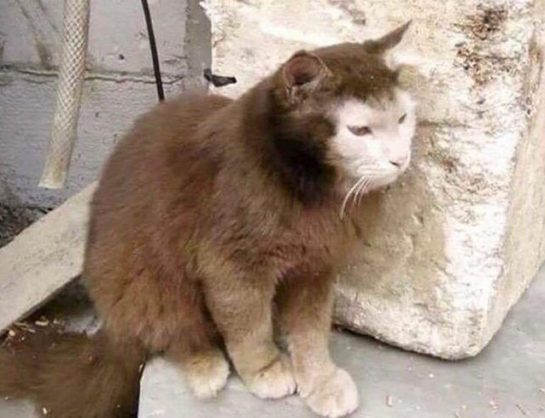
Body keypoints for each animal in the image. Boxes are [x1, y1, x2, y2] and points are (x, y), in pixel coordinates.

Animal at [0, 22, 415, 418]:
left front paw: (321, 380)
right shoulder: (232, 265)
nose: (400, 159)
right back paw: (205, 366)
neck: (305, 185)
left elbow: (311, 331)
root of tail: (109, 334)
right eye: (359, 130)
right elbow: (249, 326)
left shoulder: (314, 267)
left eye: (402, 117)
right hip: (154, 280)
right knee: (169, 334)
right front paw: (265, 371)